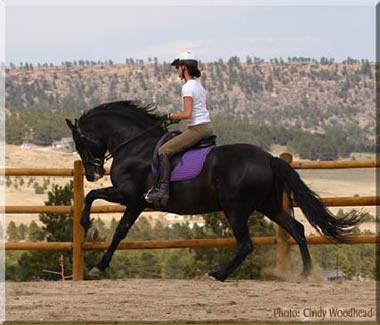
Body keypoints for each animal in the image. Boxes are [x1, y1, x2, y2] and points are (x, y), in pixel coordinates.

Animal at [66, 101, 362, 280]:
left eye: (80, 142)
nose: (93, 174)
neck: (134, 144)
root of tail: (269, 158)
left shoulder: (127, 193)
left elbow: (92, 197)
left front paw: (89, 229)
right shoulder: (137, 203)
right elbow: (121, 230)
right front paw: (99, 266)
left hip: (236, 209)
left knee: (246, 244)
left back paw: (217, 275)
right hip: (268, 205)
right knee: (297, 229)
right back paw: (305, 274)